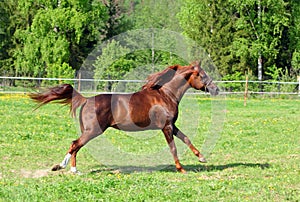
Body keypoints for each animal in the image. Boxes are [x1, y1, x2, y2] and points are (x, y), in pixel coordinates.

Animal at [29, 61, 218, 174]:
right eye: (202, 75)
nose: (216, 89)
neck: (165, 94)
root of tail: (86, 99)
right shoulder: (166, 127)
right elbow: (173, 148)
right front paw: (181, 169)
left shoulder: (172, 125)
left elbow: (186, 139)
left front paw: (201, 158)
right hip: (93, 131)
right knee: (75, 144)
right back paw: (69, 169)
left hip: (89, 131)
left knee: (75, 146)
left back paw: (66, 168)